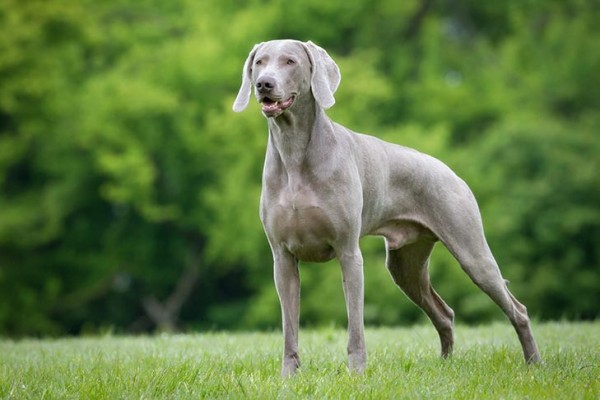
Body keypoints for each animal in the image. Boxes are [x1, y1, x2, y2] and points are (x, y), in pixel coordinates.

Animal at [232, 39, 540, 376]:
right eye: (259, 62)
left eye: (290, 61)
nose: (264, 84)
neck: (294, 152)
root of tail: (450, 171)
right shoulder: (283, 258)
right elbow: (290, 326)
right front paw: (289, 376)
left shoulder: (348, 252)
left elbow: (355, 324)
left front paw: (356, 373)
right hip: (405, 264)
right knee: (444, 313)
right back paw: (445, 365)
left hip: (471, 251)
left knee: (517, 308)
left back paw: (534, 362)